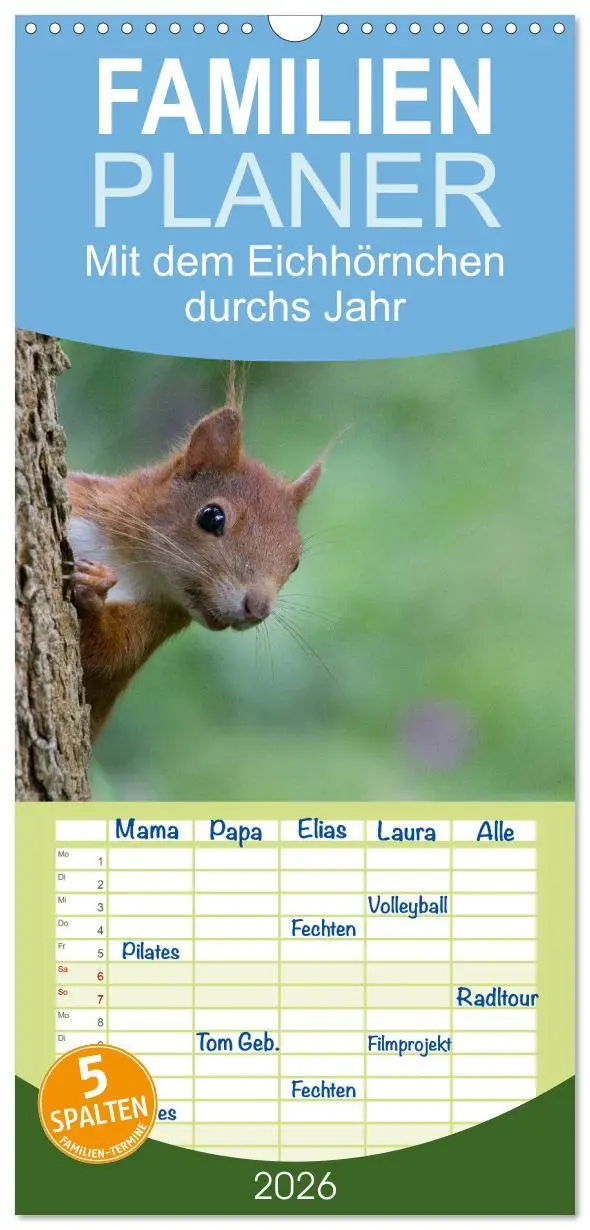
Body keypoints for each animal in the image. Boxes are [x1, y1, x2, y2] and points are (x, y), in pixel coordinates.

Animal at [66, 364, 322, 741]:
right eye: (212, 516)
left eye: (296, 563)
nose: (258, 608)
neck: (127, 560)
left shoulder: (154, 622)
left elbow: (104, 657)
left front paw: (94, 589)